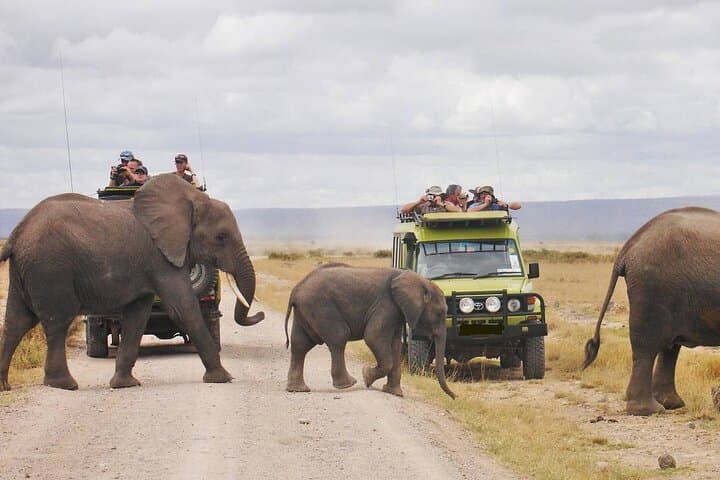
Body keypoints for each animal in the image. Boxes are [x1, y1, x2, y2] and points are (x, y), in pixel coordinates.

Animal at [0, 173, 264, 391]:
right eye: (221, 237)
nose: (259, 314)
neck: (191, 199)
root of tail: (17, 232)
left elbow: (138, 316)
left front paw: (125, 384)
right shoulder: (160, 258)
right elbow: (185, 308)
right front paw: (224, 378)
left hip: (28, 269)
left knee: (16, 321)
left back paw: (5, 386)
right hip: (51, 269)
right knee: (57, 321)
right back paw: (63, 384)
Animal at [283, 264, 456, 399]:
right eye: (440, 313)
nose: (455, 397)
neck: (419, 280)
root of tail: (296, 289)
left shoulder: (397, 312)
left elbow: (395, 345)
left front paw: (395, 393)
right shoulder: (387, 305)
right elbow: (373, 337)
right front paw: (366, 376)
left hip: (305, 311)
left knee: (300, 345)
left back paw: (298, 390)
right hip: (321, 307)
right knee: (339, 337)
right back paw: (348, 384)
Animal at [583, 206, 720, 416]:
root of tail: (628, 248)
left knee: (669, 348)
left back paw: (671, 404)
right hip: (653, 288)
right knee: (647, 348)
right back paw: (649, 410)